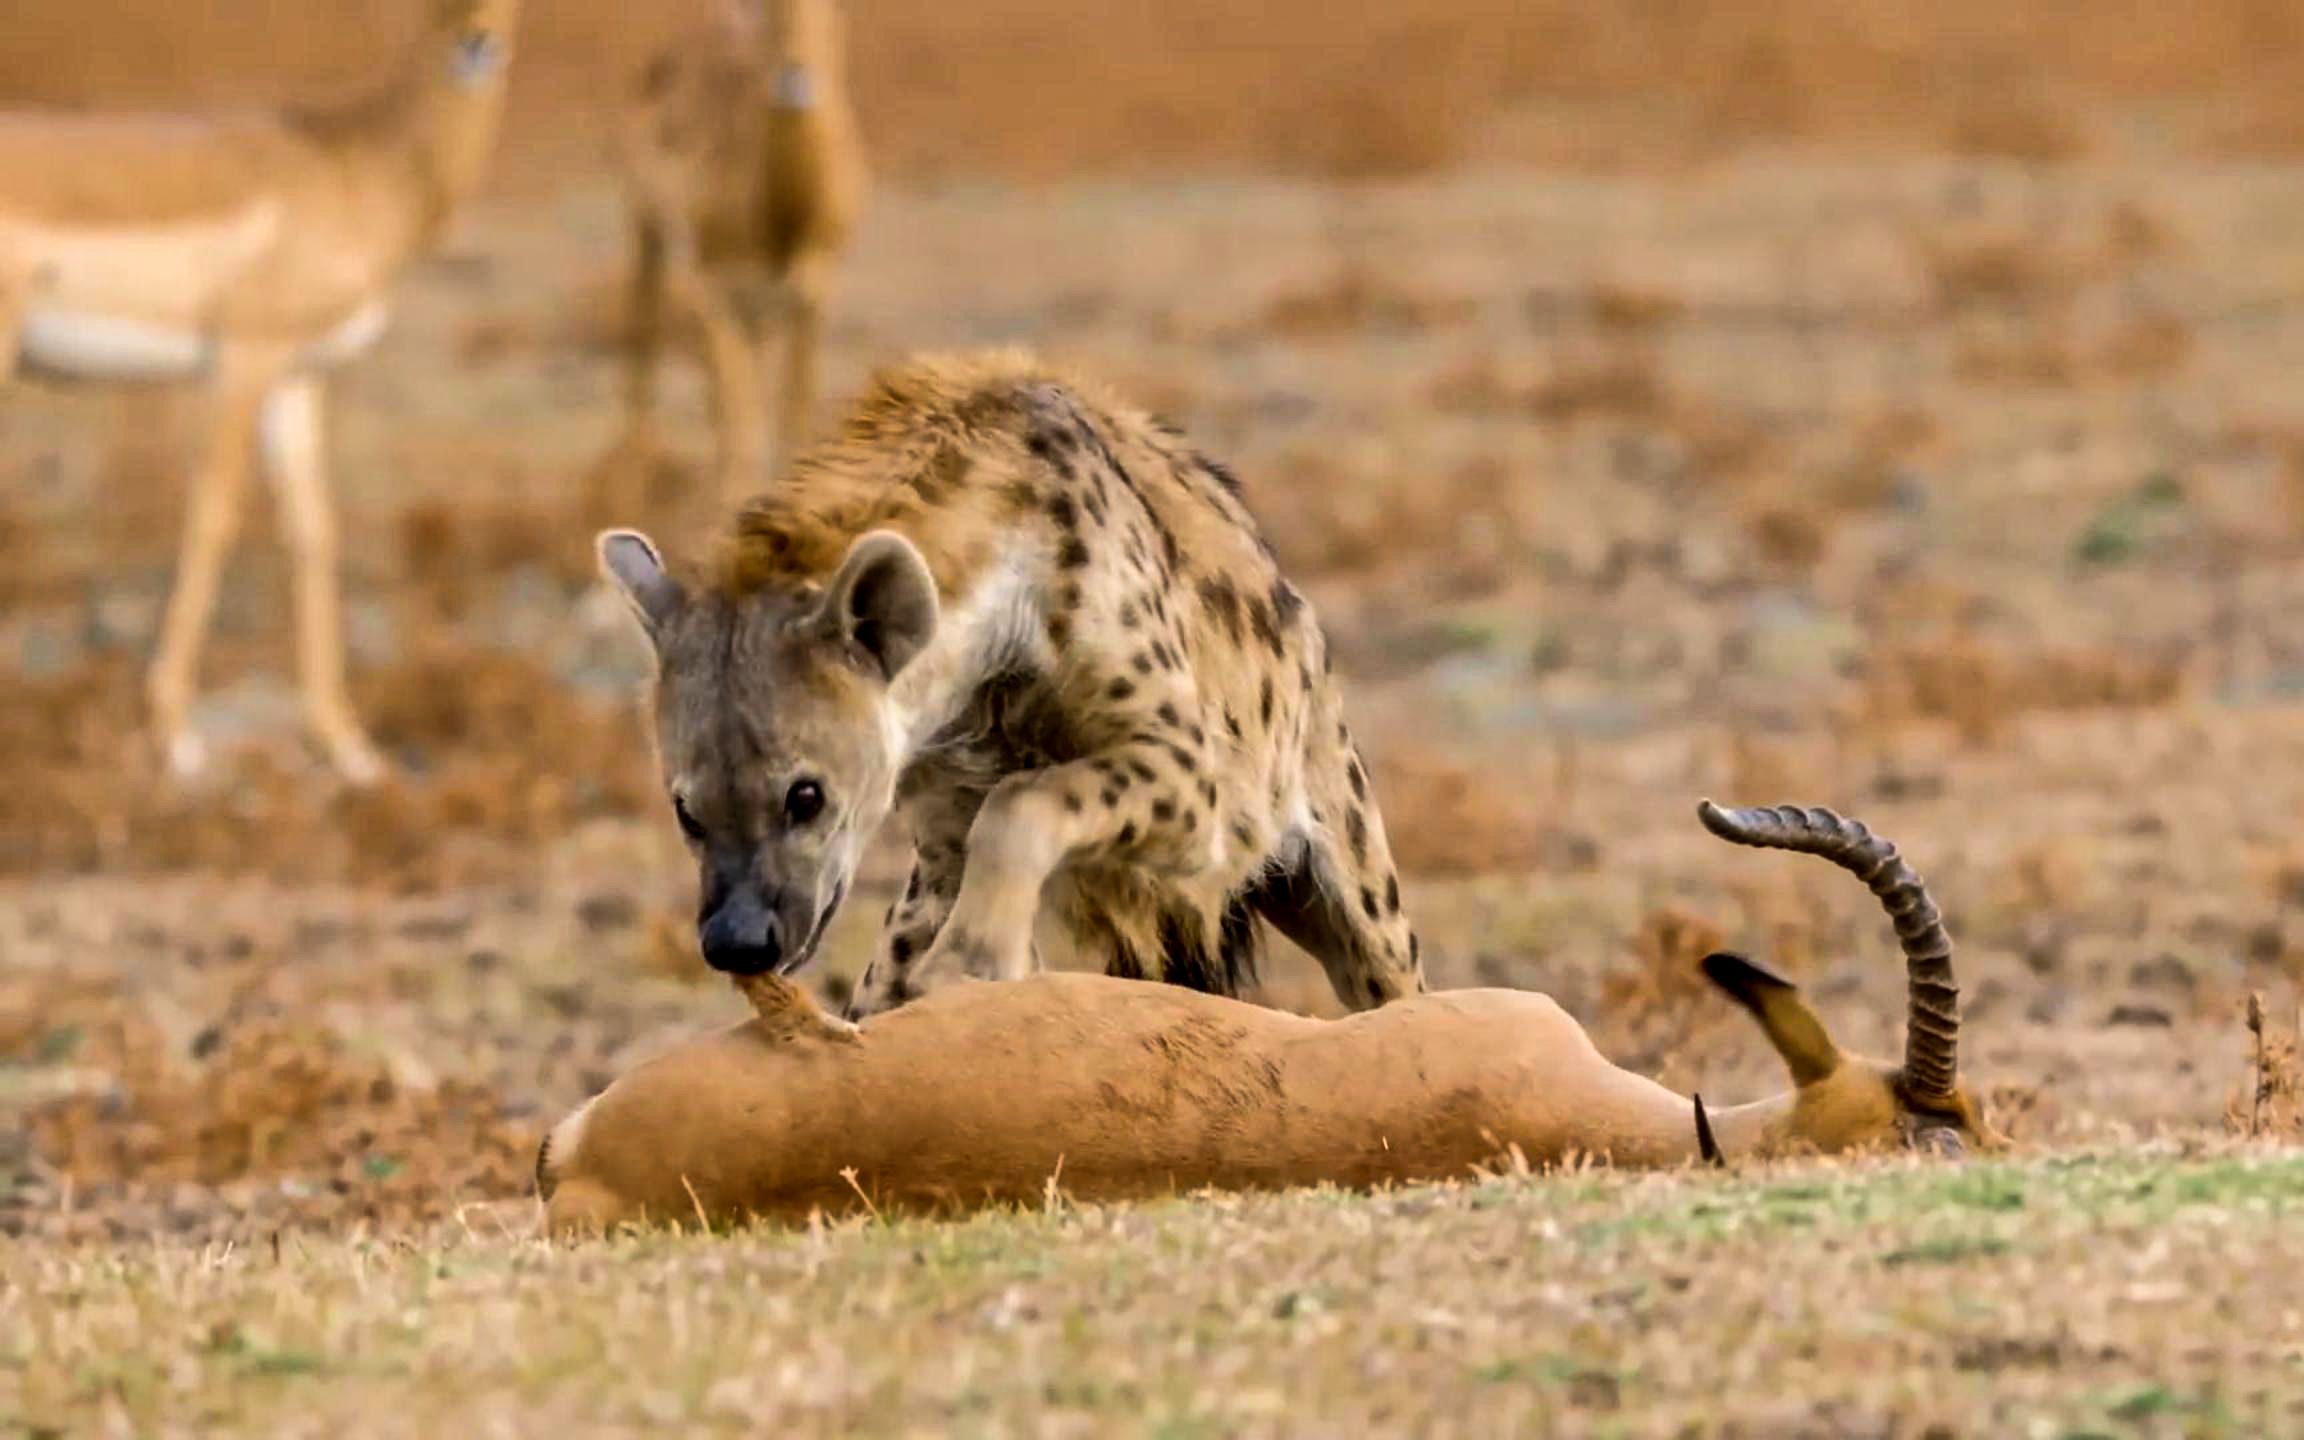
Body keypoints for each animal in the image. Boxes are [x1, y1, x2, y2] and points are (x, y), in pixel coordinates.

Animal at [0, 2, 523, 787]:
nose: (476, 43)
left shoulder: (296, 379)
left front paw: (349, 749)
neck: (351, 160)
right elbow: (212, 518)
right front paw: (178, 737)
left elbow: (313, 530)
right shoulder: (243, 364)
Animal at [603, 0, 866, 509]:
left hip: (758, 312)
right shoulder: (713, 294)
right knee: (646, 349)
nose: (793, 76)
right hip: (648, 238)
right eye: (767, 5)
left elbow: (792, 413)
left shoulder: (813, 297)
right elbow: (739, 426)